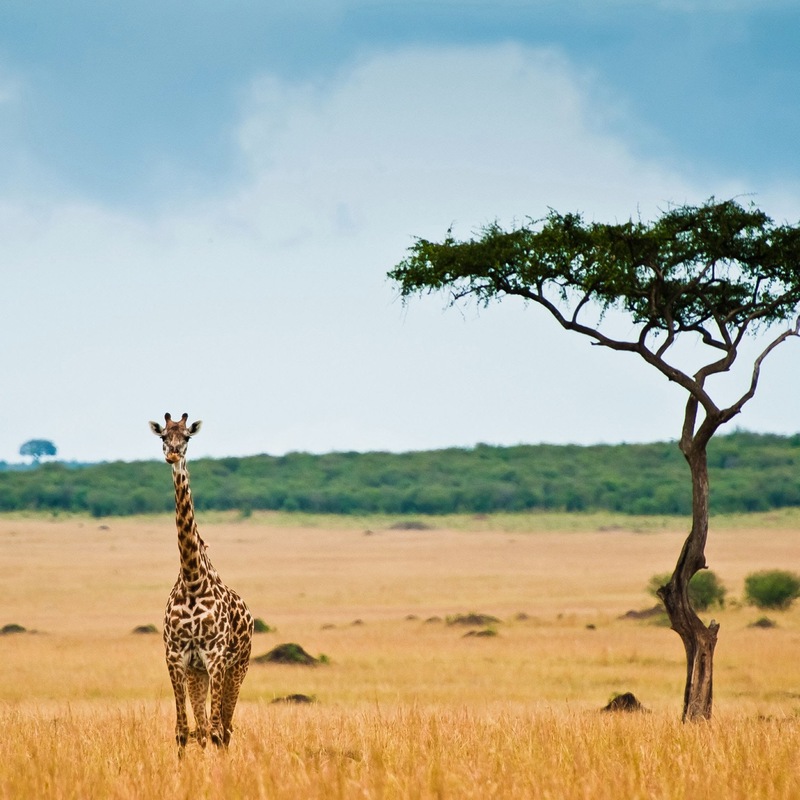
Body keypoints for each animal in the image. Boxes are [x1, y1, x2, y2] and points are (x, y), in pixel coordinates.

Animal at [148, 412, 253, 756]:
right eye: (163, 436)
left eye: (187, 437)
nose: (173, 454)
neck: (193, 580)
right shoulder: (177, 657)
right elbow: (184, 730)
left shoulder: (216, 656)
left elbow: (218, 729)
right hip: (199, 673)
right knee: (205, 727)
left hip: (238, 667)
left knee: (226, 727)